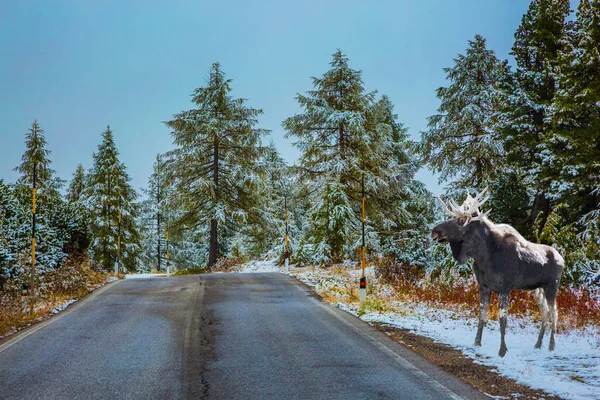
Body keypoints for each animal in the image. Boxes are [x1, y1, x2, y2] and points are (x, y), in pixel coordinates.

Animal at [432, 189, 564, 358]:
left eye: (461, 220)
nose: (435, 231)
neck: (483, 257)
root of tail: (562, 259)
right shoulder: (484, 287)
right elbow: (481, 315)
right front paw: (477, 343)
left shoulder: (504, 288)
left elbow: (502, 320)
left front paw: (502, 350)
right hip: (538, 289)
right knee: (546, 312)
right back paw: (538, 344)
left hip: (552, 285)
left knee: (555, 312)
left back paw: (551, 346)